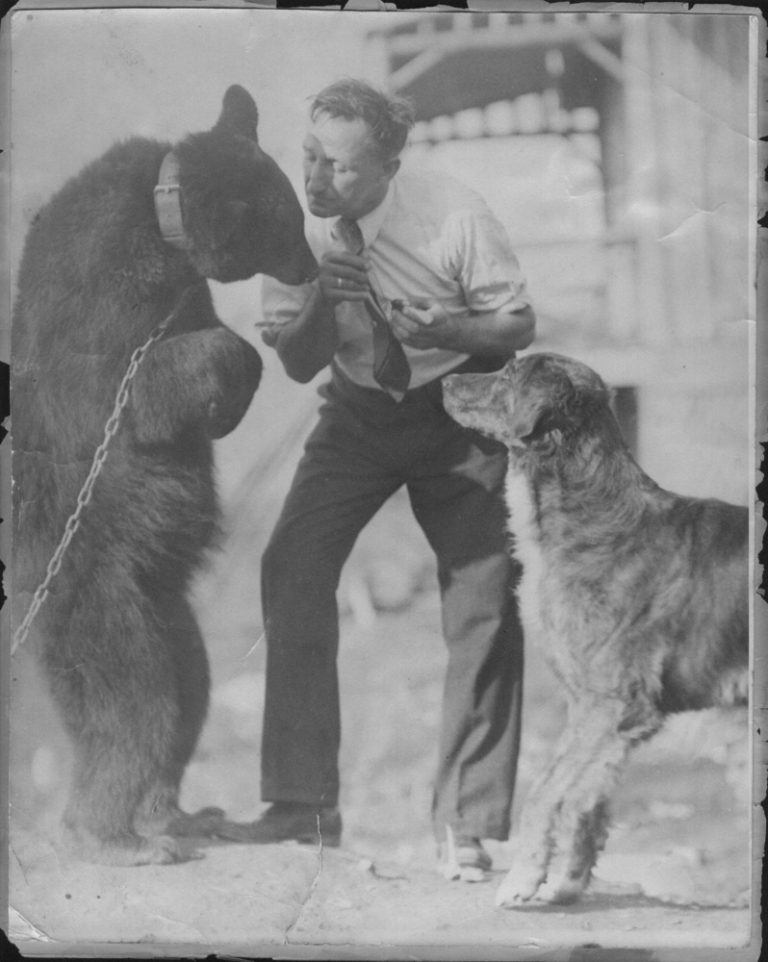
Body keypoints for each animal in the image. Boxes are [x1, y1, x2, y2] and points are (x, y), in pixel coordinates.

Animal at [9, 84, 316, 864]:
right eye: (290, 222)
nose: (311, 270)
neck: (161, 217)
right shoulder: (104, 292)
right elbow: (146, 384)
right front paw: (234, 369)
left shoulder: (180, 288)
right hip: (96, 596)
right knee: (134, 700)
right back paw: (113, 836)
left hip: (168, 609)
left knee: (190, 691)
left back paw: (178, 814)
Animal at [440, 348, 748, 904]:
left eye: (509, 374)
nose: (445, 381)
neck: (595, 519)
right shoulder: (593, 708)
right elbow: (588, 798)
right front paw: (567, 882)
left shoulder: (613, 702)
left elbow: (544, 794)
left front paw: (523, 879)